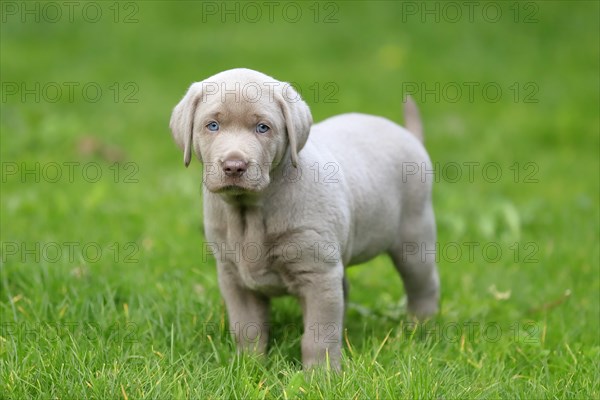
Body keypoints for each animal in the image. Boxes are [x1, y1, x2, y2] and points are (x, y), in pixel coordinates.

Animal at [169, 68, 440, 368]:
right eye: (213, 125)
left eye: (263, 128)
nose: (234, 166)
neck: (250, 210)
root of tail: (408, 135)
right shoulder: (233, 276)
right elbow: (247, 329)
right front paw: (248, 367)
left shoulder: (318, 274)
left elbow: (318, 335)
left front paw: (321, 375)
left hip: (414, 234)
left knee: (423, 284)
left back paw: (421, 330)